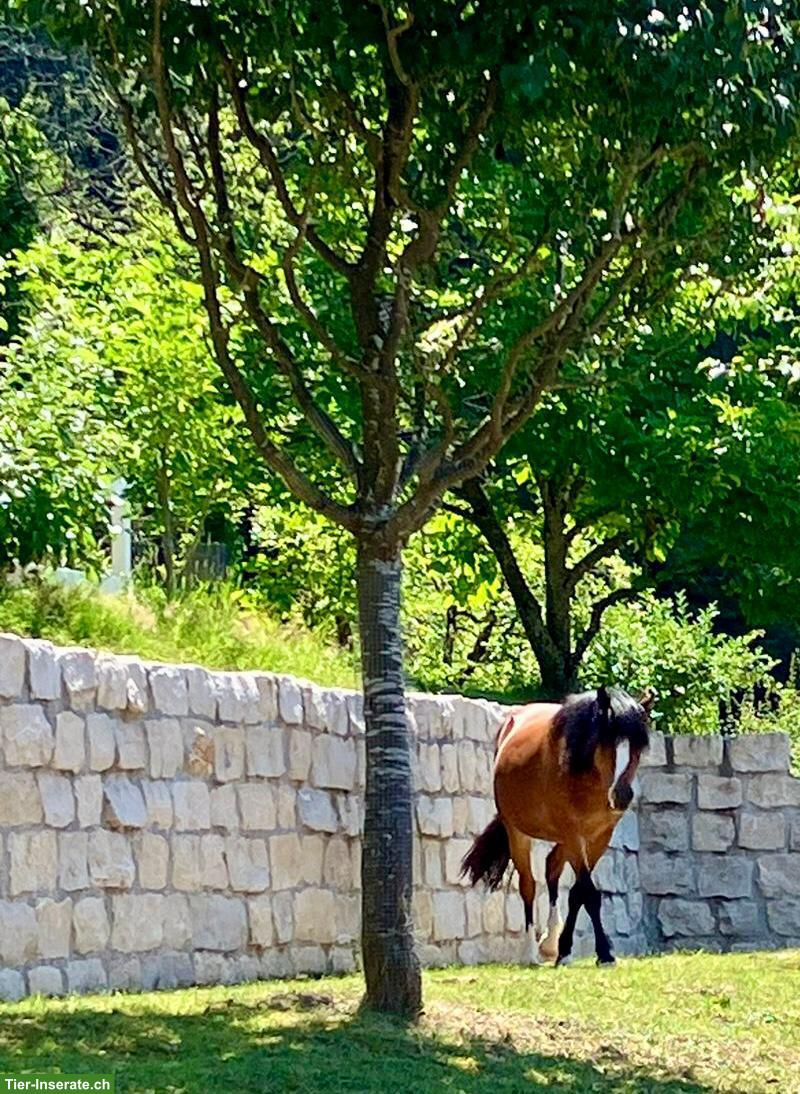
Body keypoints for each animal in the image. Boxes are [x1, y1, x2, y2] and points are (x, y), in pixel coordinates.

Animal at [461, 685, 652, 966]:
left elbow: (578, 893)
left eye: (639, 745)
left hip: (563, 839)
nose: (622, 796)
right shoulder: (574, 835)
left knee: (551, 867)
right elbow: (588, 892)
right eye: (607, 742)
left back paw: (550, 943)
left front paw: (565, 950)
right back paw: (529, 951)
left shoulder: (599, 837)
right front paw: (604, 954)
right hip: (517, 831)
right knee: (528, 885)